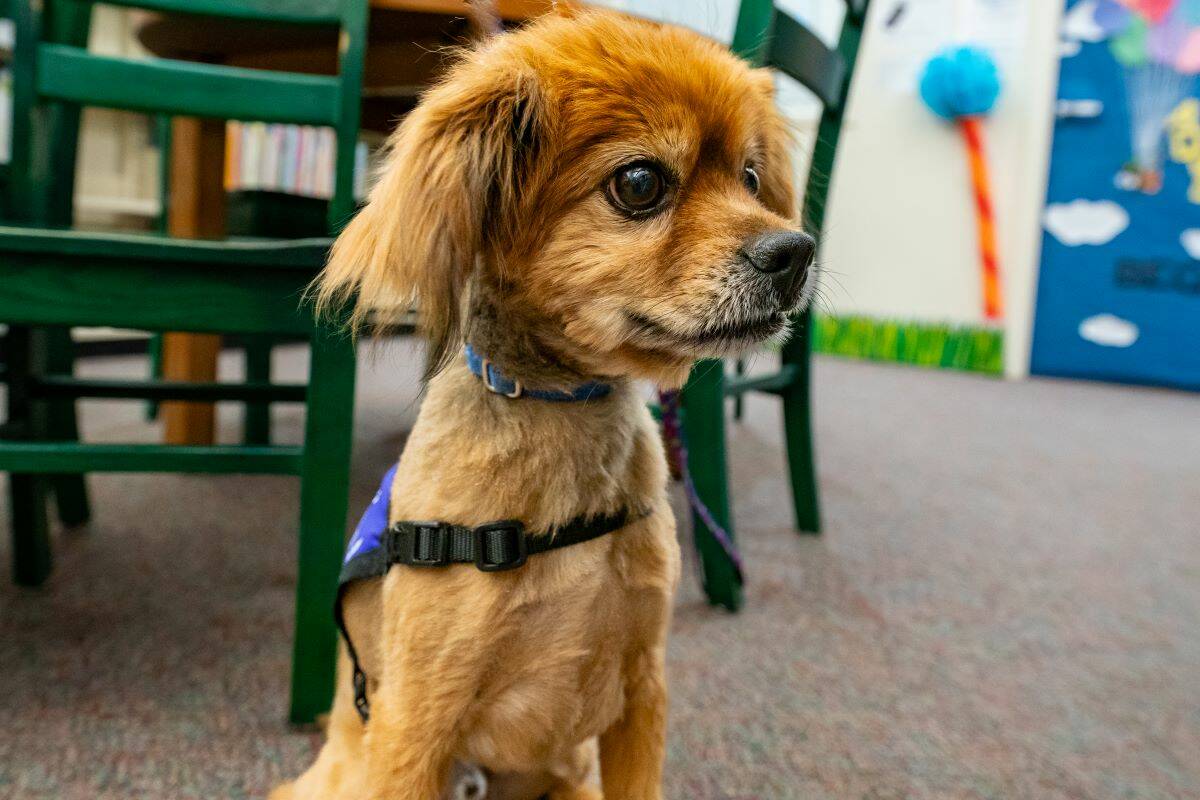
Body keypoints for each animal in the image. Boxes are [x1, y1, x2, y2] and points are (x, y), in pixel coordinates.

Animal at [272, 7, 816, 800]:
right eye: (640, 183)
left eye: (750, 177)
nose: (797, 251)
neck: (564, 410)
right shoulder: (415, 722)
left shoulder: (643, 688)